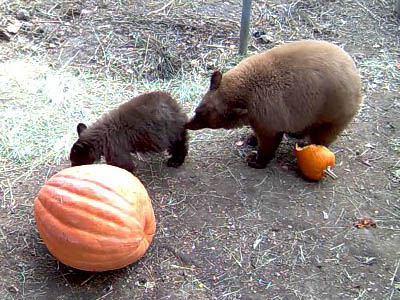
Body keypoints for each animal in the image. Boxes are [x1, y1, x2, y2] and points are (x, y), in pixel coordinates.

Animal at [186, 39, 360, 169]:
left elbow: (269, 137)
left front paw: (256, 159)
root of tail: (356, 75)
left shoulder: (266, 108)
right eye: (197, 110)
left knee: (323, 134)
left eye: (201, 115)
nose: (188, 124)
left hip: (332, 110)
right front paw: (251, 138)